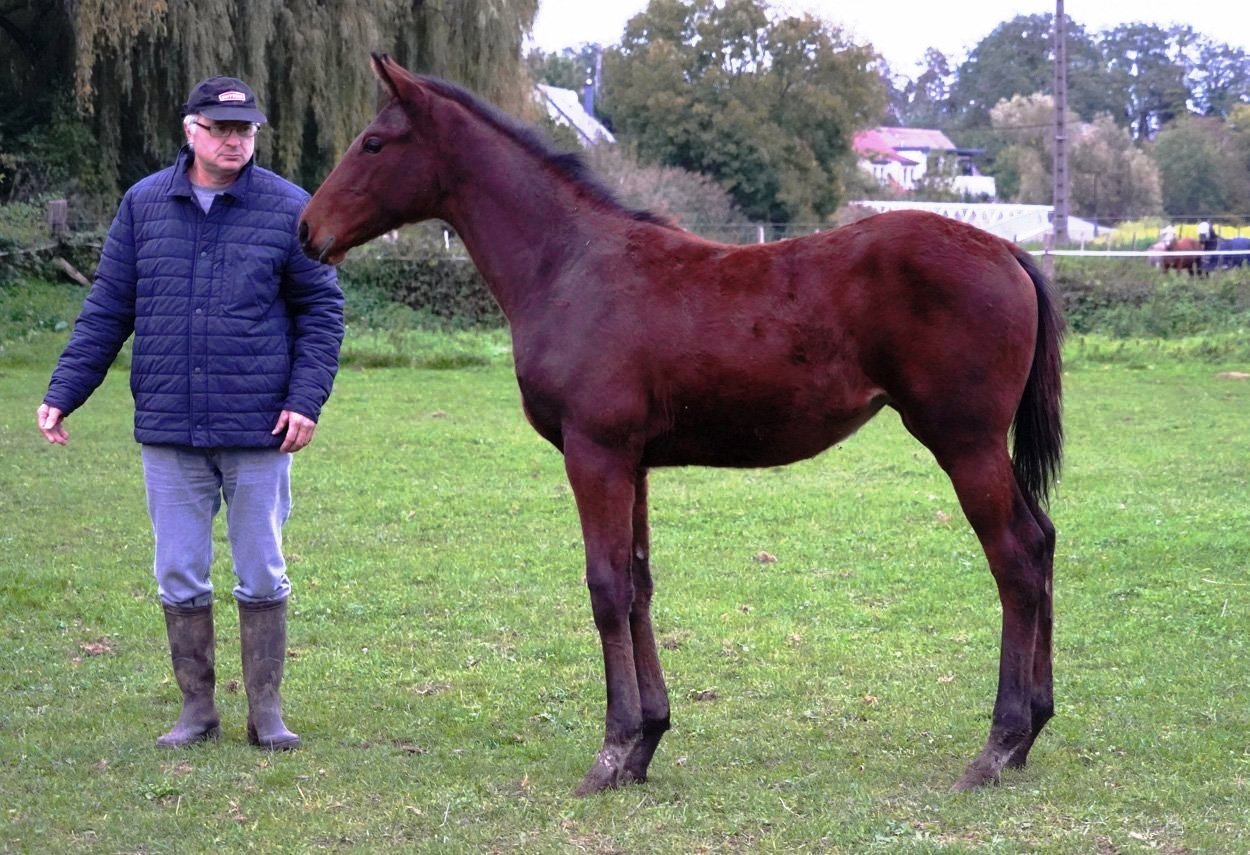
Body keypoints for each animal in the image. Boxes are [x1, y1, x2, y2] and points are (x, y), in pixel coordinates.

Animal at [299, 54, 1065, 796]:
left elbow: (606, 588)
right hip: (981, 448)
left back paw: (996, 746)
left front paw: (609, 754)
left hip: (964, 443)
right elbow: (638, 584)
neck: (570, 266)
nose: (309, 230)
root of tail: (1007, 253)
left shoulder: (595, 454)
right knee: (1043, 540)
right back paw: (1031, 731)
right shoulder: (632, 462)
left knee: (1015, 557)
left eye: (374, 142)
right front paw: (645, 744)